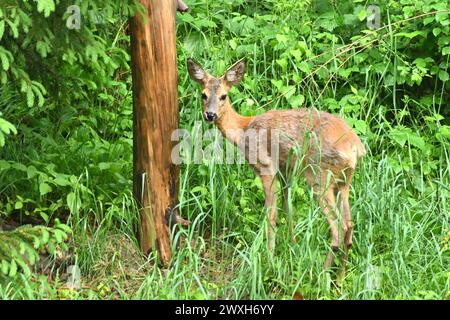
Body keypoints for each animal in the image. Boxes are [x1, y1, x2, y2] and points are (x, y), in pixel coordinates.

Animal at [186, 58, 366, 272]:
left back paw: (323, 273)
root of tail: (355, 146)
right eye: (203, 94)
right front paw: (292, 247)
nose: (210, 115)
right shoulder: (285, 170)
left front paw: (269, 258)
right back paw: (340, 275)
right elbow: (287, 208)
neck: (243, 129)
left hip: (318, 175)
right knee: (349, 225)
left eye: (224, 96)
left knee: (339, 227)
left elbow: (270, 214)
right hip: (343, 181)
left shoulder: (265, 167)